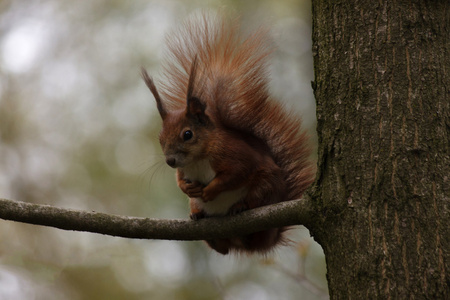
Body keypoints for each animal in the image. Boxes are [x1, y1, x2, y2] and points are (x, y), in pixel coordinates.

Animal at [142, 12, 314, 254]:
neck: (198, 159)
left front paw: (210, 190)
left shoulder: (235, 156)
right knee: (222, 248)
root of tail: (270, 237)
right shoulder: (183, 169)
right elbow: (179, 179)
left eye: (187, 134)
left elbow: (235, 174)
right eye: (160, 138)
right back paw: (200, 218)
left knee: (252, 205)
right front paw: (187, 187)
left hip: (265, 186)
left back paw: (239, 207)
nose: (170, 161)